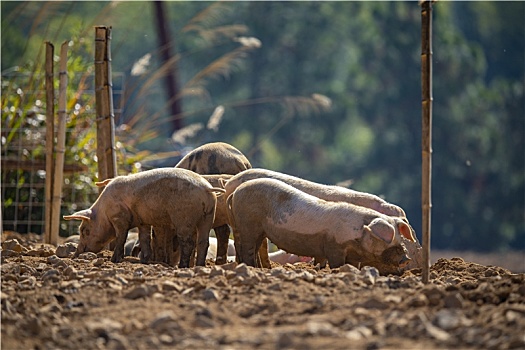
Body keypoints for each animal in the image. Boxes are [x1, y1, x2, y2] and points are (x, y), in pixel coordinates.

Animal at [63, 167, 223, 268]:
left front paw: (115, 260)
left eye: (85, 231)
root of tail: (206, 188)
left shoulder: (119, 218)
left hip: (184, 218)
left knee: (188, 243)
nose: (75, 255)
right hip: (208, 215)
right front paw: (144, 261)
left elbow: (121, 238)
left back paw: (183, 266)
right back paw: (200, 266)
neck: (104, 212)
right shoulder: (142, 221)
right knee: (203, 242)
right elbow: (144, 238)